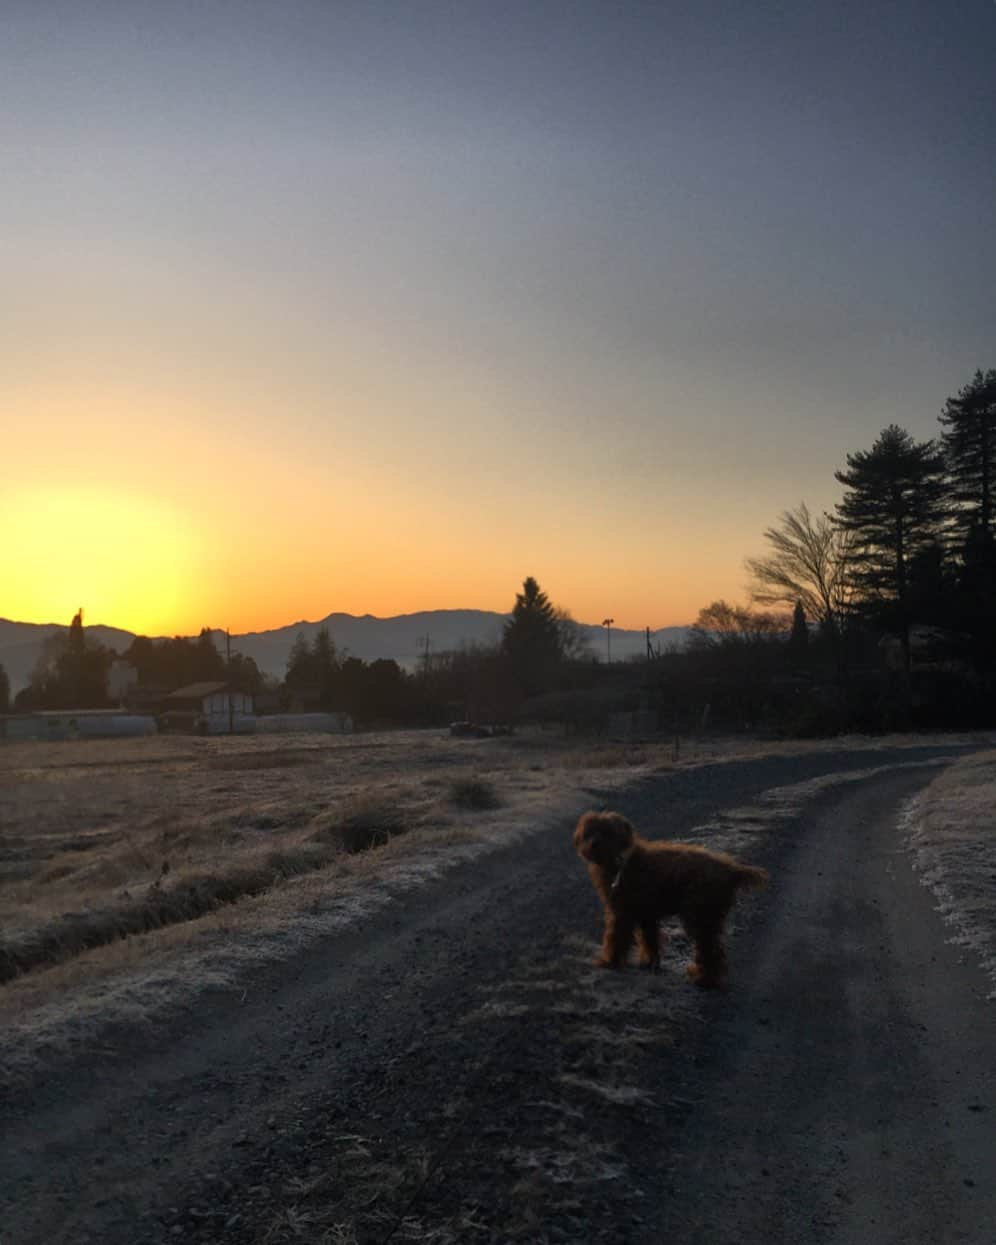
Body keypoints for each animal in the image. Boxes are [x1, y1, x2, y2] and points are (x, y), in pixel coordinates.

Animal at [572, 811, 766, 986]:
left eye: (608, 832)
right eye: (590, 831)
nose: (594, 844)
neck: (622, 860)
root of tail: (731, 869)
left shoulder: (622, 912)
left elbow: (616, 938)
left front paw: (609, 961)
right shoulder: (646, 915)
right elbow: (649, 940)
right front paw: (649, 963)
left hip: (699, 915)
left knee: (710, 951)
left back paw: (704, 978)